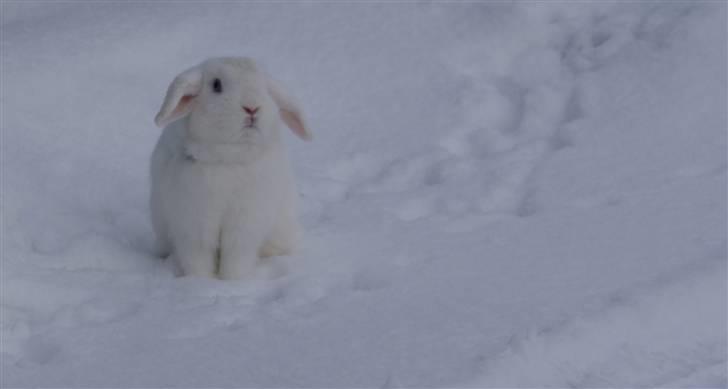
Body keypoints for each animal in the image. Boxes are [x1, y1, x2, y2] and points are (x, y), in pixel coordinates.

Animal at [151, 56, 312, 278]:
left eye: (264, 87)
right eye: (216, 85)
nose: (252, 107)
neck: (228, 159)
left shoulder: (244, 226)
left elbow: (236, 257)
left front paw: (233, 281)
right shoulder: (192, 224)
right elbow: (198, 258)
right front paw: (200, 281)